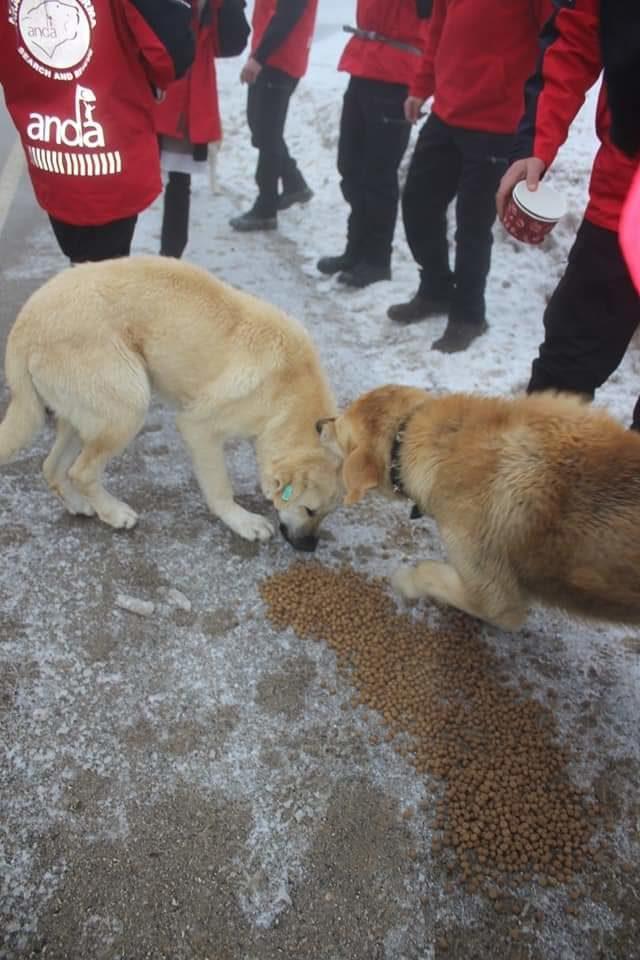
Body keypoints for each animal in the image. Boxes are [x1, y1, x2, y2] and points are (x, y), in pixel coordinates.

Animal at [0, 255, 342, 552]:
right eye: (309, 510)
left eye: (327, 514)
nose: (309, 548)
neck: (289, 393)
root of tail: (23, 322)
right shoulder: (198, 428)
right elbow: (220, 487)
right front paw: (242, 521)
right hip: (130, 404)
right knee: (81, 472)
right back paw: (114, 514)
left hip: (87, 415)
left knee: (52, 467)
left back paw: (80, 505)